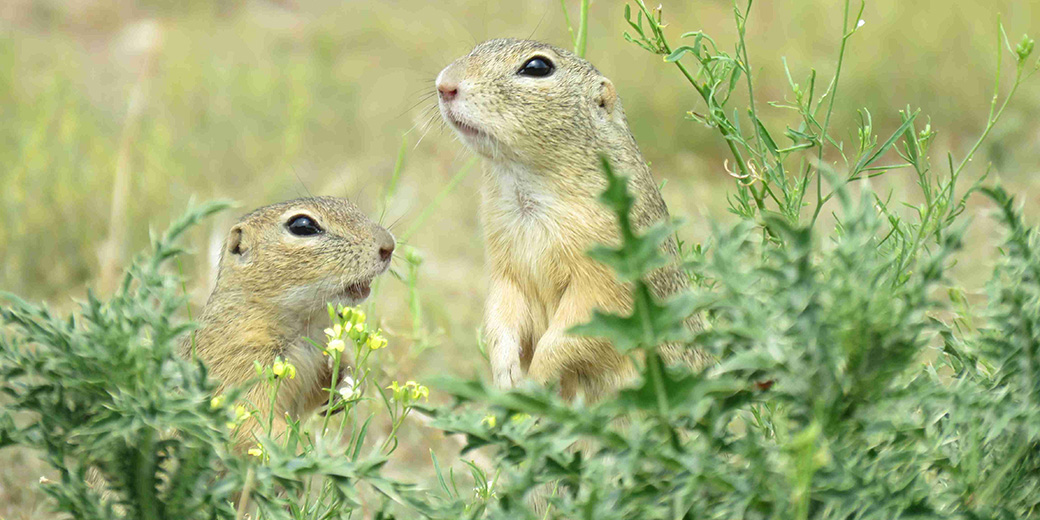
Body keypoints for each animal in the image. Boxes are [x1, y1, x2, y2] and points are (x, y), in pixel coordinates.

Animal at [183, 197, 394, 447]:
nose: (389, 245)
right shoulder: (239, 361)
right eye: (302, 226)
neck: (304, 328)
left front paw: (350, 382)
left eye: (348, 204)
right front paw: (299, 449)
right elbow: (250, 421)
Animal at [436, 38, 709, 401]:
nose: (444, 85)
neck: (525, 189)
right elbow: (501, 312)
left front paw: (536, 380)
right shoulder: (504, 267)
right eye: (477, 47)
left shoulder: (607, 275)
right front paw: (507, 376)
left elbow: (574, 328)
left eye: (537, 67)